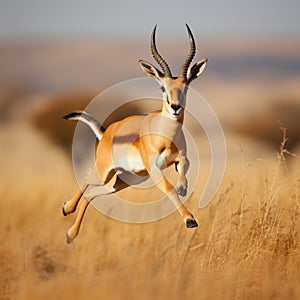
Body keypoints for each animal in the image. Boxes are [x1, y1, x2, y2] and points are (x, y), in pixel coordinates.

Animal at [62, 24, 207, 244]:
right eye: (162, 87)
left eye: (186, 87)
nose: (175, 107)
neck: (165, 137)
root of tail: (107, 132)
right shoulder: (154, 169)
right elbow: (169, 189)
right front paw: (190, 220)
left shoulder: (178, 159)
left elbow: (183, 169)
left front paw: (183, 187)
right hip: (105, 172)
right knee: (87, 177)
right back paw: (66, 208)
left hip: (127, 178)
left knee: (94, 193)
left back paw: (71, 234)